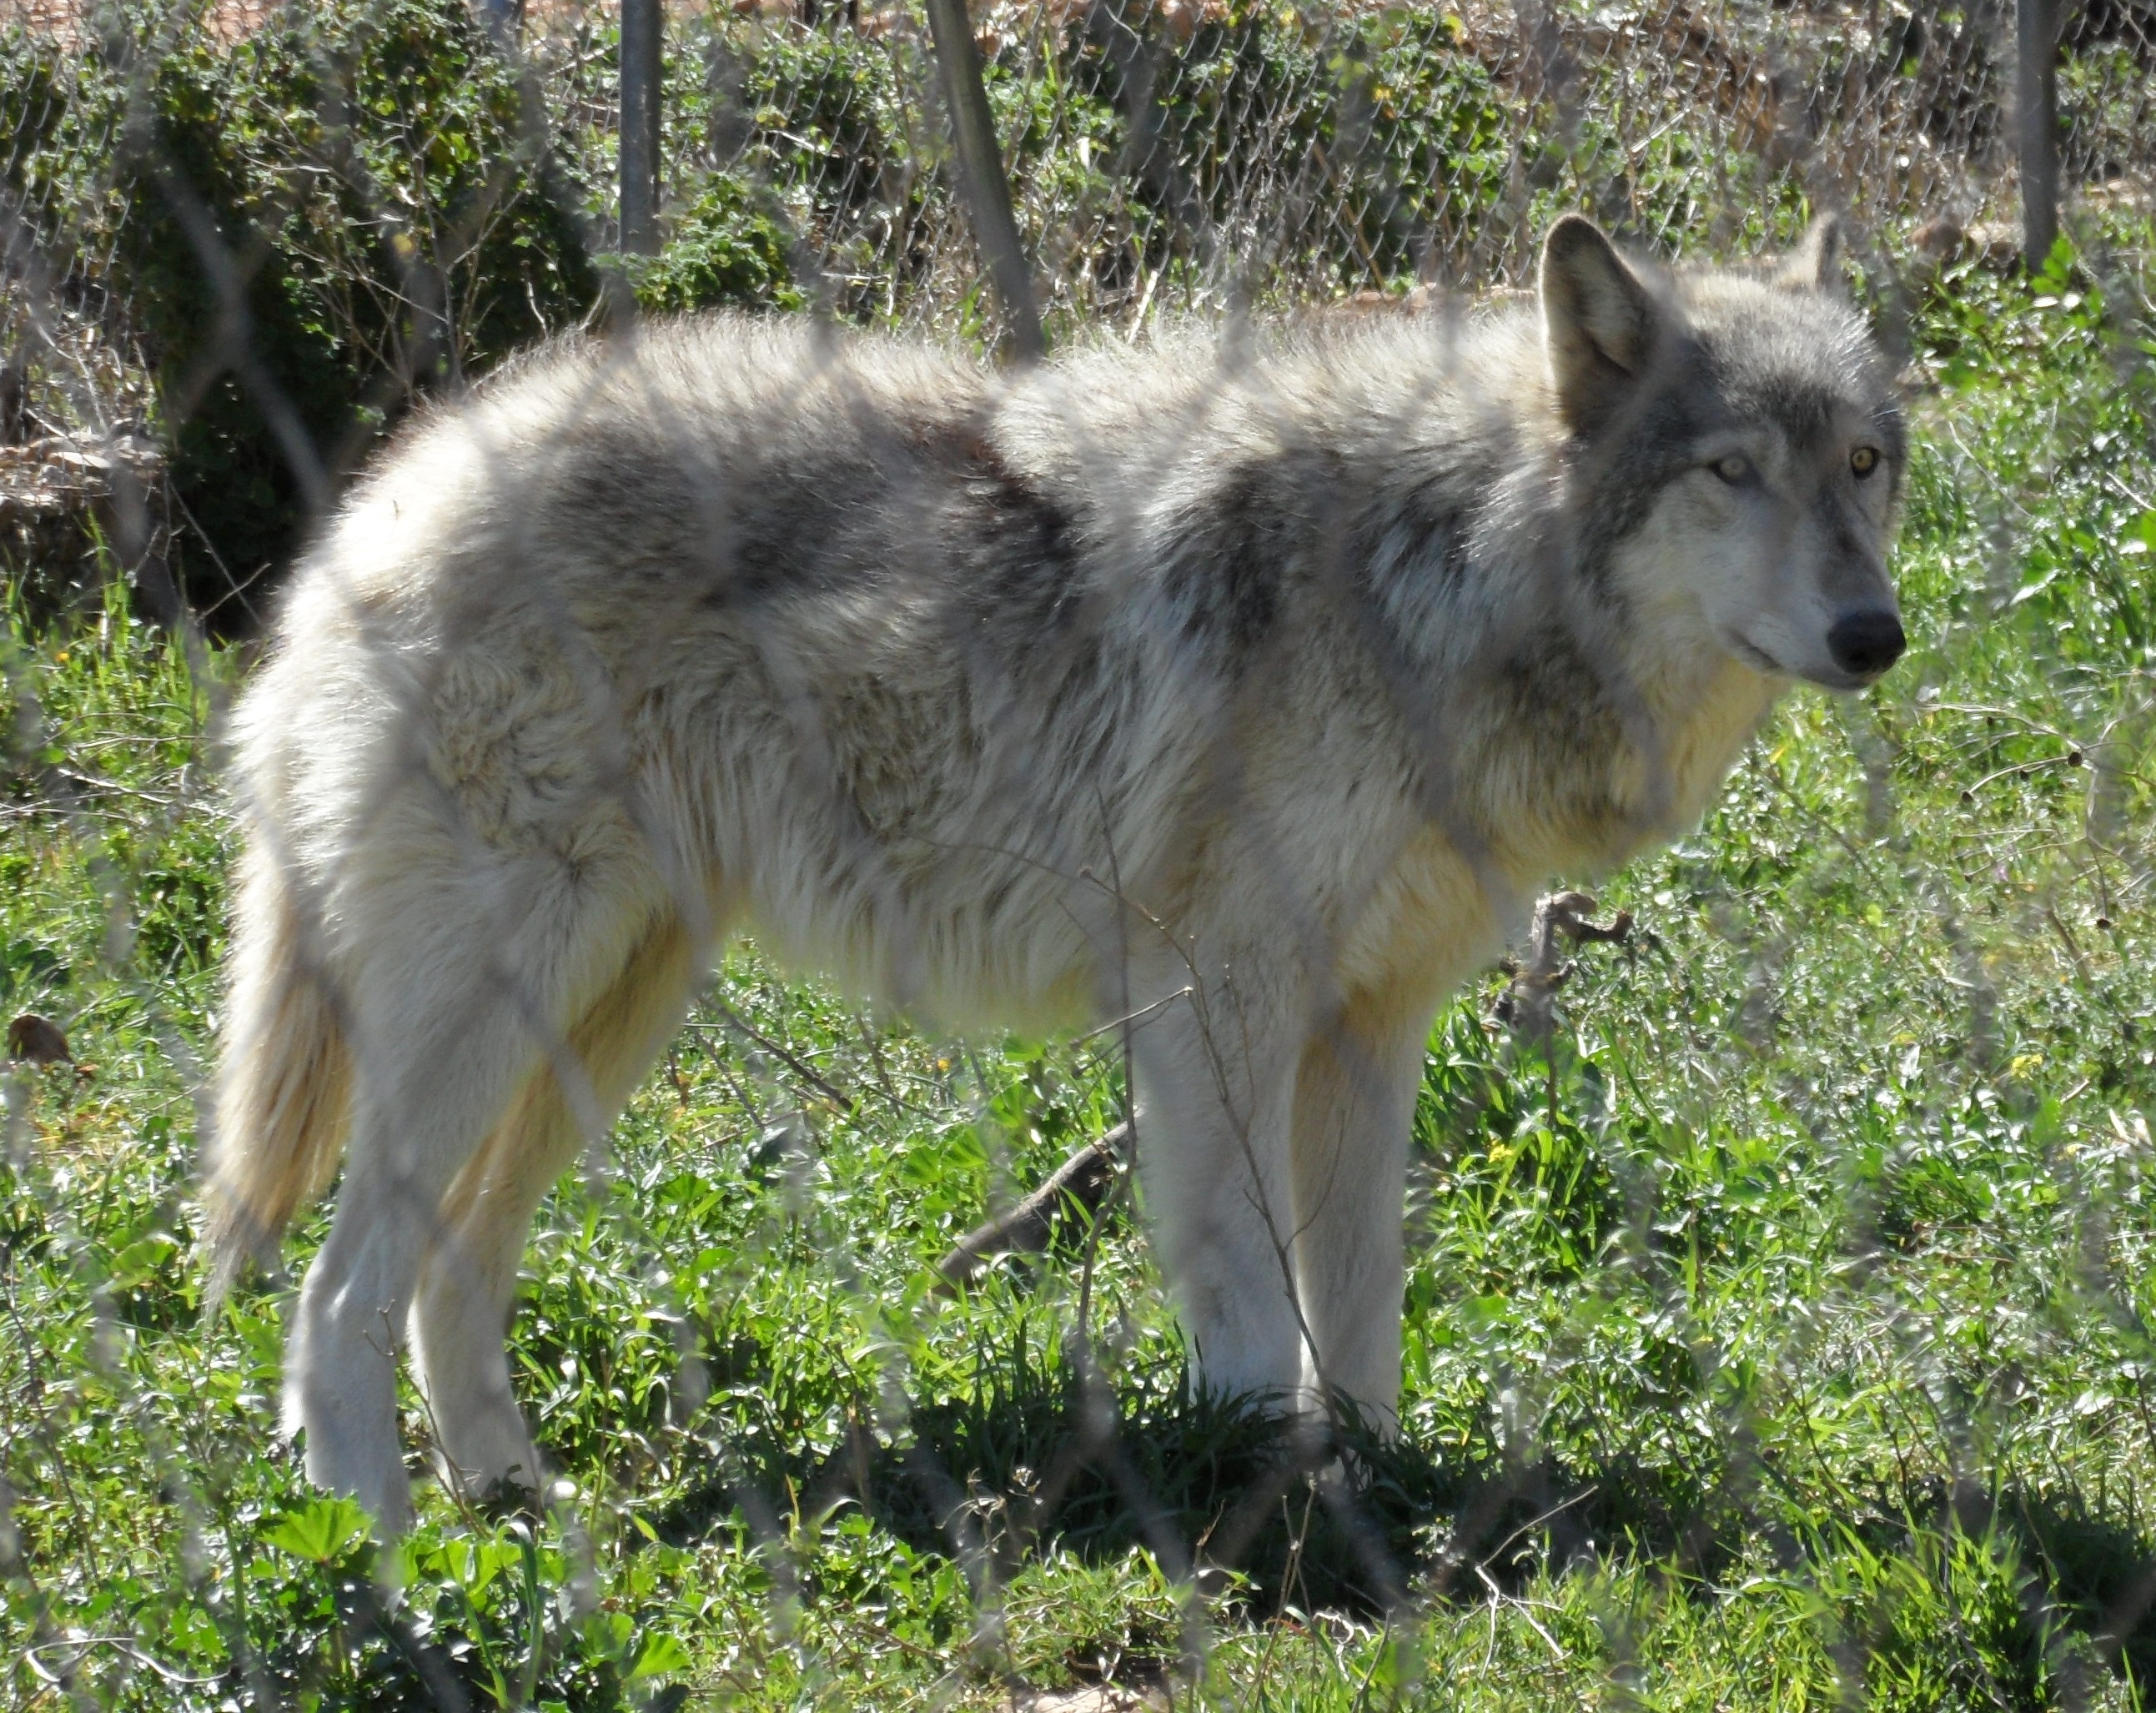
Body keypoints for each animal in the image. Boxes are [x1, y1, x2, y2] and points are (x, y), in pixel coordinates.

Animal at [205, 214, 1906, 1525]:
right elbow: (1247, 1297)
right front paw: (1263, 1486)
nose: (1874, 634)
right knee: (335, 1292)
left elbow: (1361, 1302)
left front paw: (1371, 1483)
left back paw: (512, 1505)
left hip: (609, 1012)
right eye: (1731, 470)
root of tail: (386, 497)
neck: (1451, 570)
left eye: (1865, 464)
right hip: (502, 1005)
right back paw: (389, 1550)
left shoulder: (1373, 1023)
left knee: (449, 1276)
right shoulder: (1219, 998)